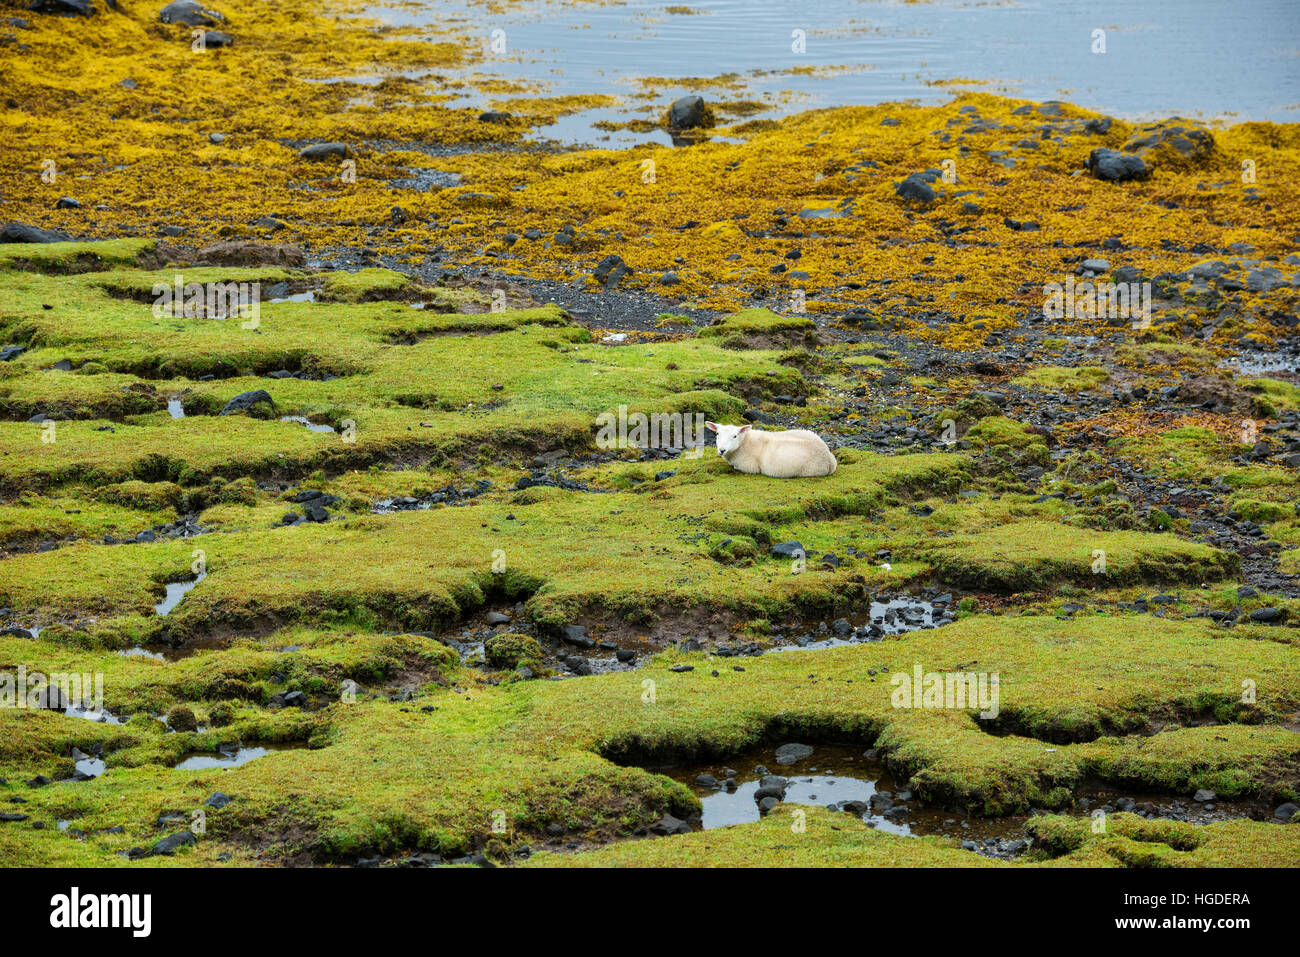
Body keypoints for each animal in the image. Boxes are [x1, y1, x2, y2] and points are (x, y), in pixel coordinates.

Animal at [705, 422, 837, 478]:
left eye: (735, 436)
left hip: (810, 470)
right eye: (717, 434)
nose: (722, 450)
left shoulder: (749, 467)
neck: (744, 442)